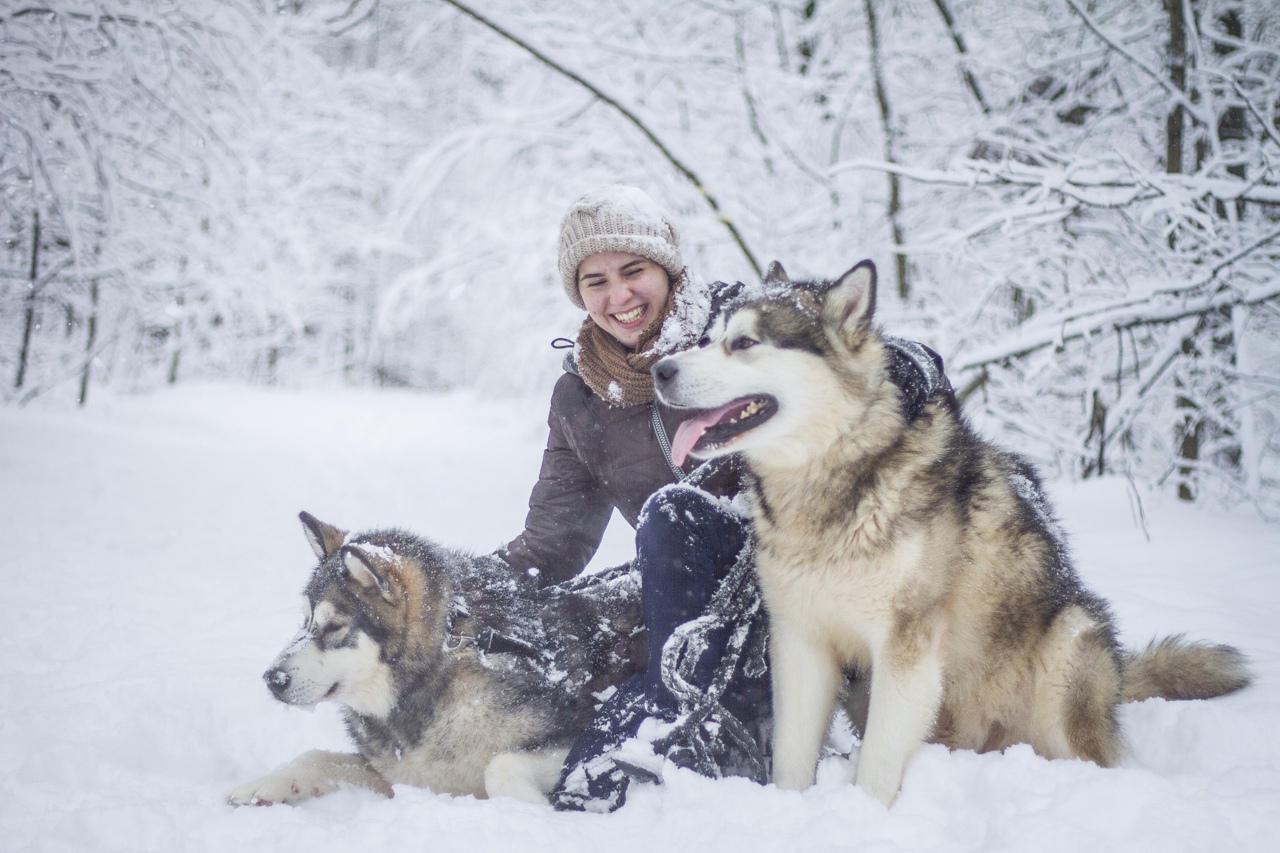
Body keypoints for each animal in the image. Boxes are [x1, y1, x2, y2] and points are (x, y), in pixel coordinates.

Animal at [226, 512, 645, 804]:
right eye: (305, 622)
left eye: (333, 628)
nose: (272, 678)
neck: (435, 675)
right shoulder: (404, 772)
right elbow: (319, 757)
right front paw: (264, 785)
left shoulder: (584, 735)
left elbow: (500, 767)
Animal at [655, 258, 1254, 804]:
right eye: (706, 339)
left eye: (744, 342)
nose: (661, 370)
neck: (835, 482)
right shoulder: (800, 642)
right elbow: (791, 760)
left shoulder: (906, 651)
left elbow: (878, 769)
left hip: (1068, 643)